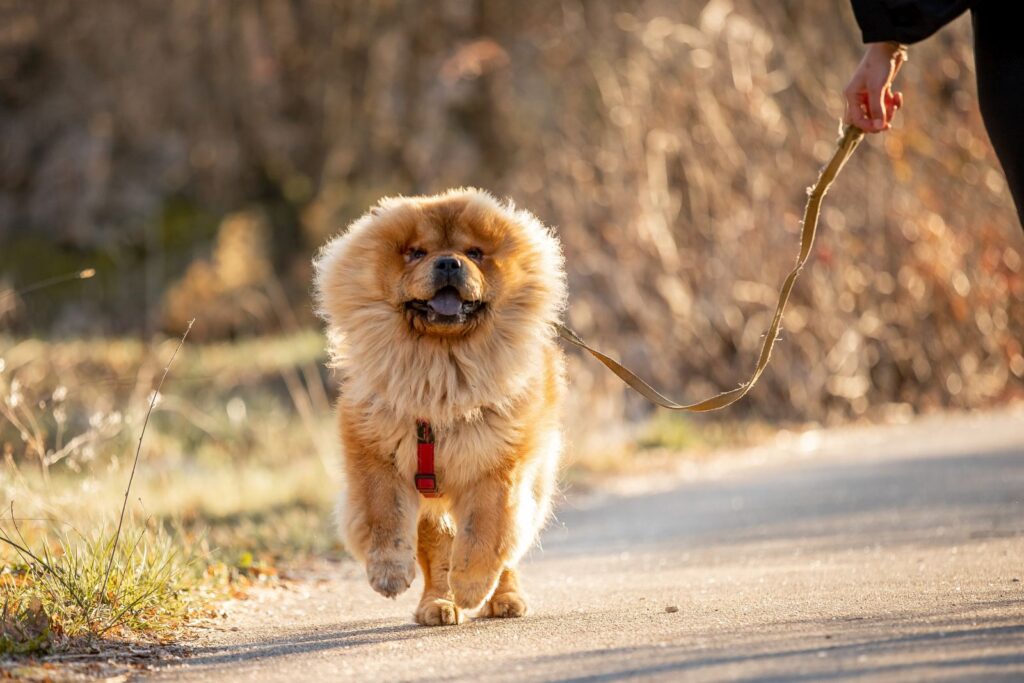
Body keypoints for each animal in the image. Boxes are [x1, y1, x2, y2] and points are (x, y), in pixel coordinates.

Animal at [311, 187, 569, 626]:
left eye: (475, 252)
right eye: (416, 252)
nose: (449, 261)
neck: (440, 370)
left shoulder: (498, 463)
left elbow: (487, 532)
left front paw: (471, 587)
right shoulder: (377, 452)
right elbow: (384, 516)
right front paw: (389, 574)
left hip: (534, 479)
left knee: (510, 549)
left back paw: (504, 599)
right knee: (437, 551)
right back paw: (438, 605)